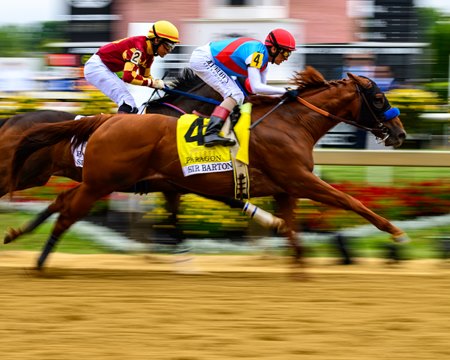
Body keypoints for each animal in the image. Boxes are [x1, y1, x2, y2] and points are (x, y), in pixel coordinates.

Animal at [6, 67, 408, 270]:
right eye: (377, 98)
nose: (400, 133)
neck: (291, 123)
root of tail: (103, 123)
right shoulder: (298, 179)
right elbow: (349, 201)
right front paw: (394, 234)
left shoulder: (283, 187)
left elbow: (289, 227)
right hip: (93, 181)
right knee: (66, 212)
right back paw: (39, 257)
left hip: (97, 179)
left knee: (61, 204)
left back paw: (20, 237)